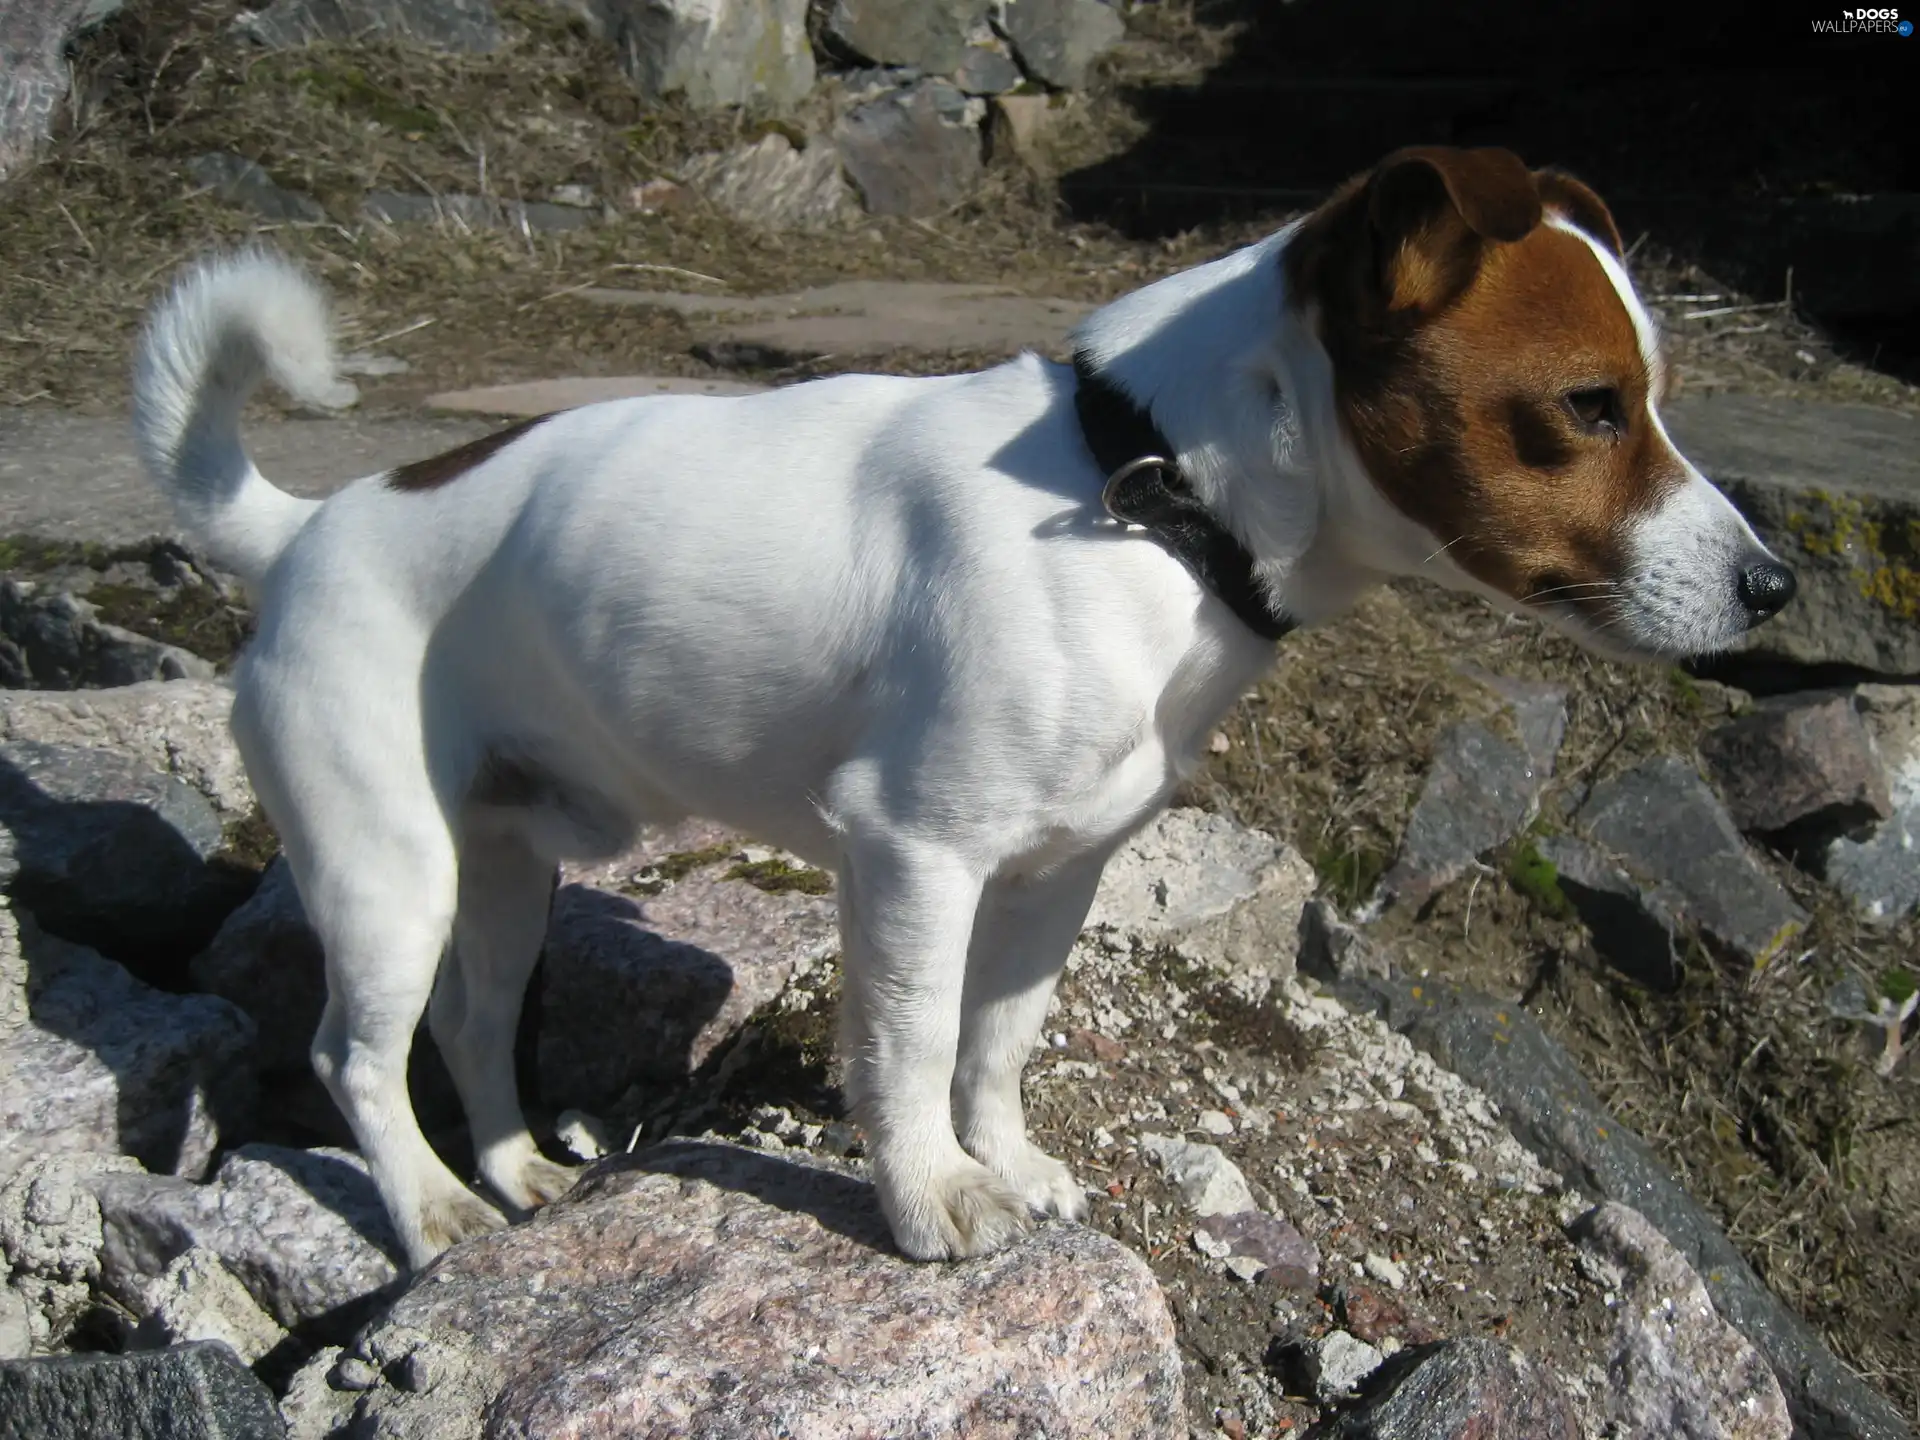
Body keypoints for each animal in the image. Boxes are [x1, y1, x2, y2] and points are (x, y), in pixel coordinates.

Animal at [139, 149, 1797, 1274]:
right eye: (1590, 407)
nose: (1777, 586)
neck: (1146, 495)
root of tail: (300, 531)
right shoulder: (916, 857)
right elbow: (911, 1042)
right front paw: (931, 1194)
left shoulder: (1058, 873)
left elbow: (999, 1039)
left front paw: (1002, 1155)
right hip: (386, 869)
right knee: (360, 1059)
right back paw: (425, 1208)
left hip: (499, 871)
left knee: (475, 1029)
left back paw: (508, 1174)